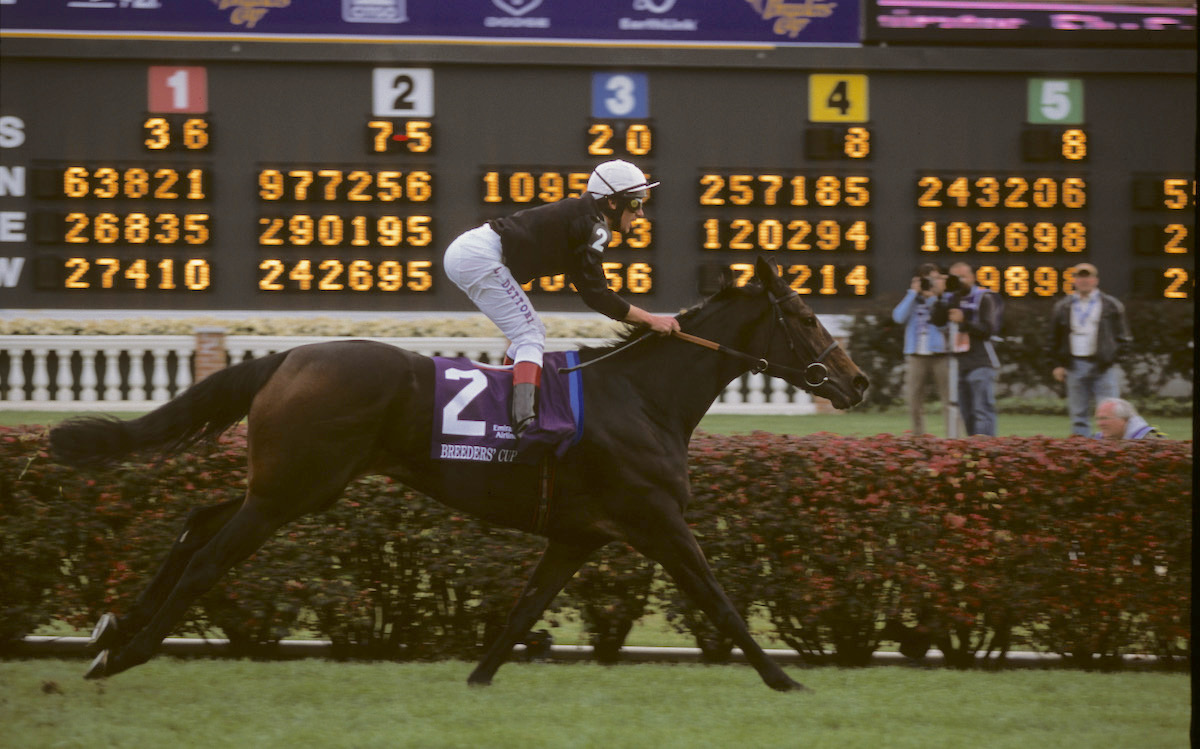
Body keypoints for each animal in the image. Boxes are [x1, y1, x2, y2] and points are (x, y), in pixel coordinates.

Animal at [54, 256, 864, 691]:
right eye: (805, 316)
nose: (855, 383)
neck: (641, 395)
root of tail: (287, 357)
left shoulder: (578, 536)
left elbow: (522, 610)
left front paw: (478, 678)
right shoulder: (658, 521)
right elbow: (721, 602)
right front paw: (784, 677)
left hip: (291, 484)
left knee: (196, 522)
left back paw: (114, 625)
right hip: (293, 491)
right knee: (208, 557)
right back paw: (121, 654)